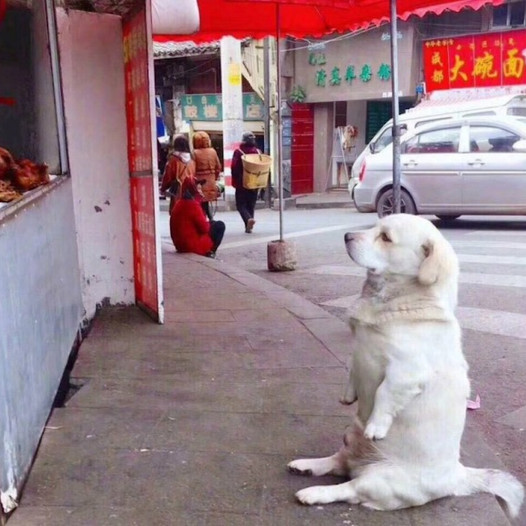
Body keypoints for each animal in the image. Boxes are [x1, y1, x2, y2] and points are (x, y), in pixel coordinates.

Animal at [290, 213, 524, 520]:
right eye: (375, 227)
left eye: (385, 238)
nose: (347, 236)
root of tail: (457, 476)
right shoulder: (358, 350)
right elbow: (353, 369)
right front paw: (348, 395)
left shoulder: (406, 372)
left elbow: (384, 395)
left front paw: (376, 425)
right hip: (349, 436)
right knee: (338, 462)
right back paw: (307, 465)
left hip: (379, 479)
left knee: (348, 488)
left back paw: (313, 493)